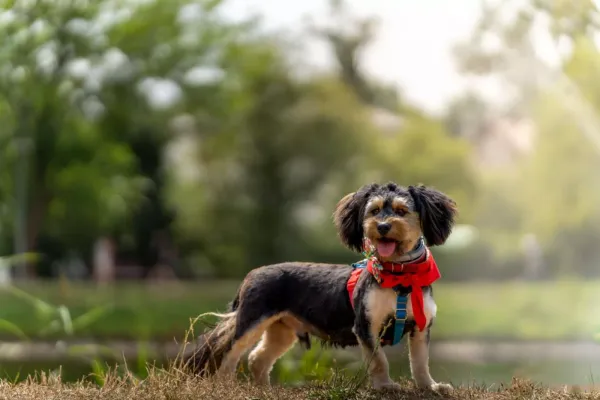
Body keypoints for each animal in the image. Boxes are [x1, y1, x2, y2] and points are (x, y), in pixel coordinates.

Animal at [185, 183, 458, 392]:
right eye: (374, 211)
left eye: (401, 211)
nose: (381, 227)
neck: (401, 276)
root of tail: (252, 274)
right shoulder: (366, 325)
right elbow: (379, 360)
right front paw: (385, 386)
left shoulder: (421, 327)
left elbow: (420, 362)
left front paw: (430, 386)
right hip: (252, 320)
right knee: (231, 354)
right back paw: (226, 385)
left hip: (282, 330)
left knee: (257, 358)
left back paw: (265, 388)